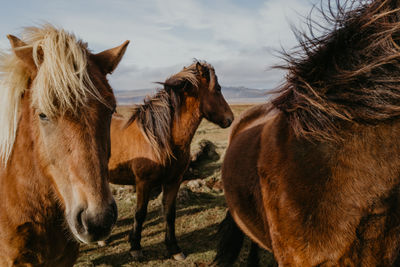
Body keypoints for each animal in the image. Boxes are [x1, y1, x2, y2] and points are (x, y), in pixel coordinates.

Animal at [108, 61, 234, 262]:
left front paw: (174, 248)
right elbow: (140, 213)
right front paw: (135, 247)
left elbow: (169, 213)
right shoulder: (143, 183)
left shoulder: (173, 181)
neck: (159, 139)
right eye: (218, 89)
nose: (230, 118)